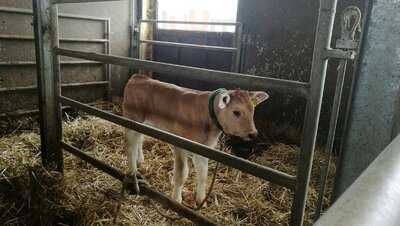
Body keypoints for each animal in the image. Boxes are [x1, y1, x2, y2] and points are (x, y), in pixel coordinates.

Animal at [120, 75, 268, 206]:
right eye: (236, 112)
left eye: (252, 110)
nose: (253, 133)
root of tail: (137, 77)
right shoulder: (180, 145)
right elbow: (181, 173)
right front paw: (176, 200)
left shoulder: (203, 148)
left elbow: (203, 175)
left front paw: (201, 201)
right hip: (131, 119)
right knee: (130, 147)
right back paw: (133, 174)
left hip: (143, 124)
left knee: (140, 139)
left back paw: (140, 160)